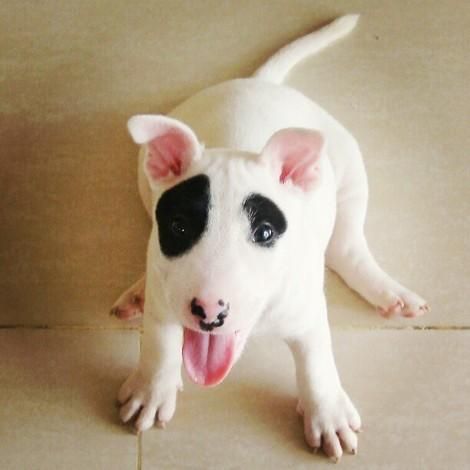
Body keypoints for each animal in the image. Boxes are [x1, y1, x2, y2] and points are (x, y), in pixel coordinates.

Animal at [112, 15, 428, 462]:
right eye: (178, 227)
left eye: (264, 232)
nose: (209, 311)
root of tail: (258, 82)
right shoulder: (165, 298)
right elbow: (159, 339)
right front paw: (151, 389)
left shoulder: (307, 310)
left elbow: (317, 359)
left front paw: (327, 413)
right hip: (144, 178)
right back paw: (137, 292)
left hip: (350, 169)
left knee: (348, 245)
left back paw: (388, 292)